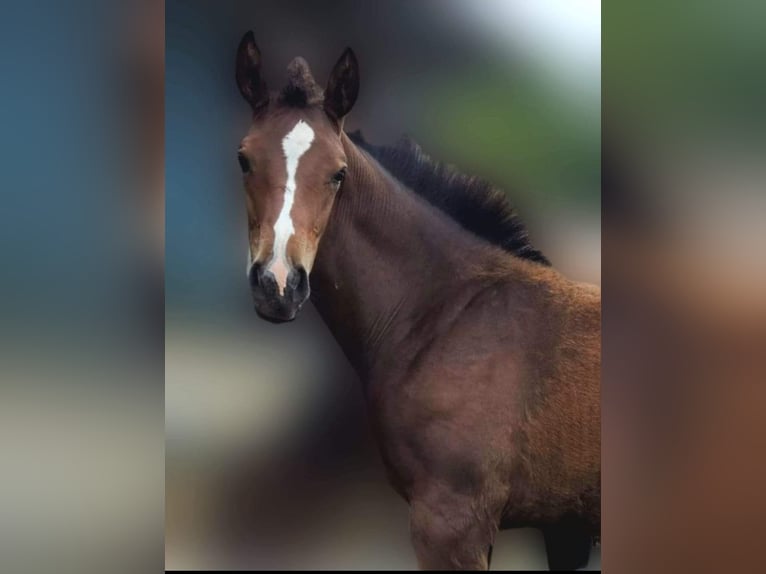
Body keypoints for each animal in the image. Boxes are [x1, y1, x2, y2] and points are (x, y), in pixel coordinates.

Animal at [234, 31, 600, 572]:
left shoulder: (451, 525)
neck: (444, 316)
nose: (278, 285)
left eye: (338, 173)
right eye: (244, 158)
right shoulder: (563, 531)